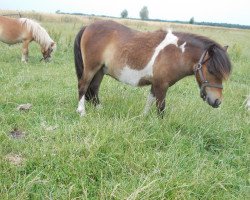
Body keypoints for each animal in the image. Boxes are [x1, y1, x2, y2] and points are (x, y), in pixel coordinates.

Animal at [73, 19, 231, 117]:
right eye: (211, 70)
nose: (217, 101)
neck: (176, 53)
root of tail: (88, 26)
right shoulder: (162, 85)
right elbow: (160, 108)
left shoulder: (156, 84)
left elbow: (149, 101)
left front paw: (143, 118)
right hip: (91, 68)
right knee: (83, 85)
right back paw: (81, 112)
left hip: (100, 70)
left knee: (93, 88)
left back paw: (99, 109)